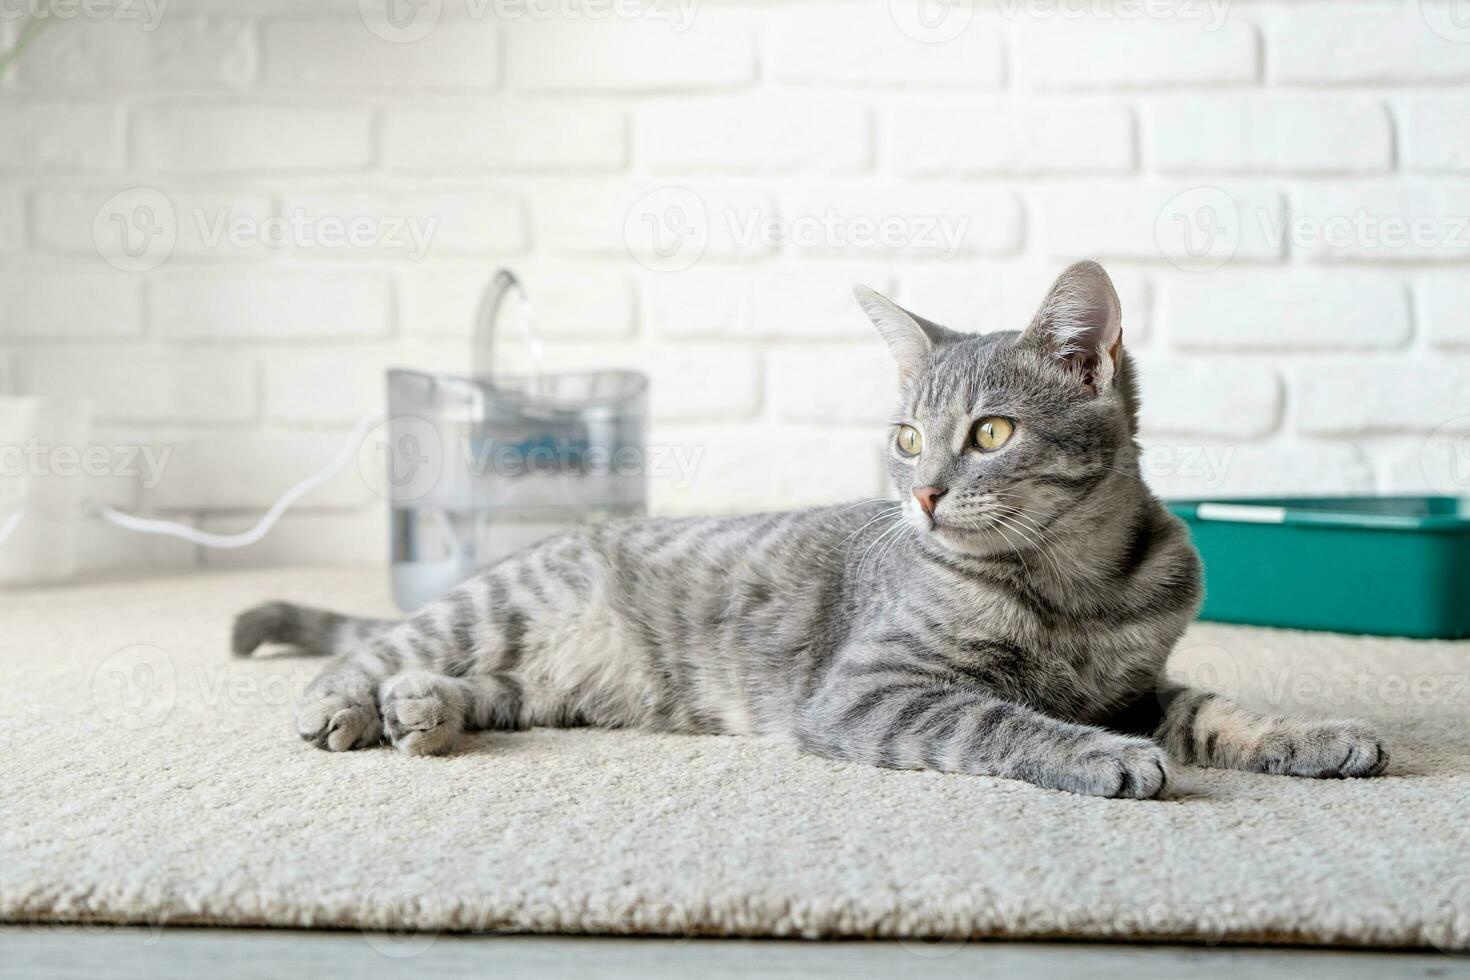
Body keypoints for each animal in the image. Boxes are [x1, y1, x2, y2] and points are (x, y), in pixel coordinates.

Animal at [232, 260, 1387, 799]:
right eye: (907, 436)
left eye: (991, 430)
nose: (923, 495)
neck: (1075, 584)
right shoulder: (878, 686)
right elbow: (1004, 720)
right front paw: (1103, 756)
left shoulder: (1142, 679)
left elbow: (1217, 709)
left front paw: (1313, 735)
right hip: (494, 611)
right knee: (370, 651)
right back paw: (348, 706)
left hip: (545, 684)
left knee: (466, 686)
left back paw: (422, 712)